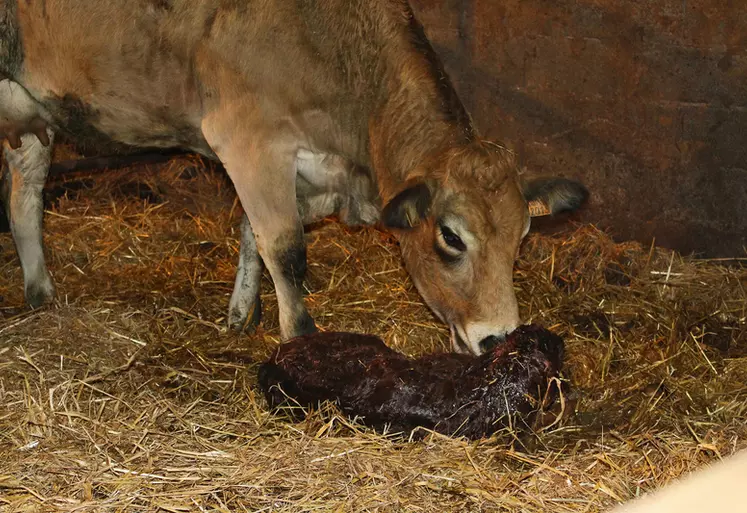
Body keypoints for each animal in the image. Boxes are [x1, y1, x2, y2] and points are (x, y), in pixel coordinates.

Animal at [0, 0, 588, 352]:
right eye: (451, 237)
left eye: (523, 237)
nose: (499, 338)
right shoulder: (249, 139)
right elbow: (285, 248)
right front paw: (302, 341)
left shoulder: (306, 170)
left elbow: (252, 233)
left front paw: (242, 313)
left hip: (30, 118)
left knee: (24, 201)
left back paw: (40, 293)